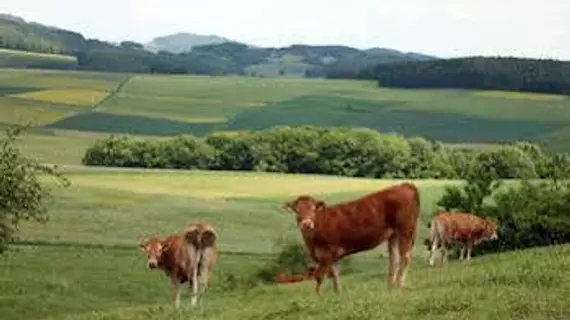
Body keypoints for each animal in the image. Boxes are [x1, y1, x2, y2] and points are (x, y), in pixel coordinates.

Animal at [280, 182, 420, 296]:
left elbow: (319, 276)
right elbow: (335, 274)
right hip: (393, 235)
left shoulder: (327, 254)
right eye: (297, 210)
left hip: (405, 230)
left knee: (405, 257)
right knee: (394, 260)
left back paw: (400, 284)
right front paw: (338, 293)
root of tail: (404, 185)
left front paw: (317, 296)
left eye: (313, 209)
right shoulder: (332, 255)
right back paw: (390, 286)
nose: (306, 224)